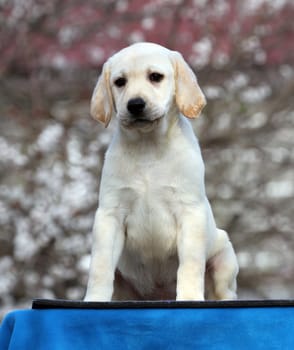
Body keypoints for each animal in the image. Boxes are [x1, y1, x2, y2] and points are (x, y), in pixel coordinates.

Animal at [84, 41, 238, 300]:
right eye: (120, 82)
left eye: (155, 77)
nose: (135, 105)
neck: (148, 146)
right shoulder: (110, 214)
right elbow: (100, 266)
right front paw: (94, 300)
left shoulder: (189, 213)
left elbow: (190, 265)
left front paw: (189, 298)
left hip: (224, 257)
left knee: (225, 292)